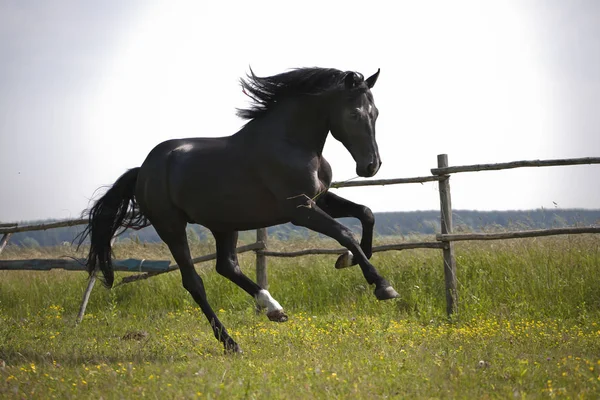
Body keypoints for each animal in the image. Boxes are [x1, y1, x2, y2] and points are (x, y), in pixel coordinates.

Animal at [79, 67, 398, 352]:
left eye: (376, 113)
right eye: (354, 114)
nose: (371, 166)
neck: (291, 143)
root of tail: (142, 170)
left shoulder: (318, 199)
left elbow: (366, 213)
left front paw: (348, 260)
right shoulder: (300, 209)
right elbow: (344, 233)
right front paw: (382, 286)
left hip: (224, 224)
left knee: (227, 266)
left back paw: (273, 309)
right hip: (171, 227)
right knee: (194, 282)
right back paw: (231, 343)